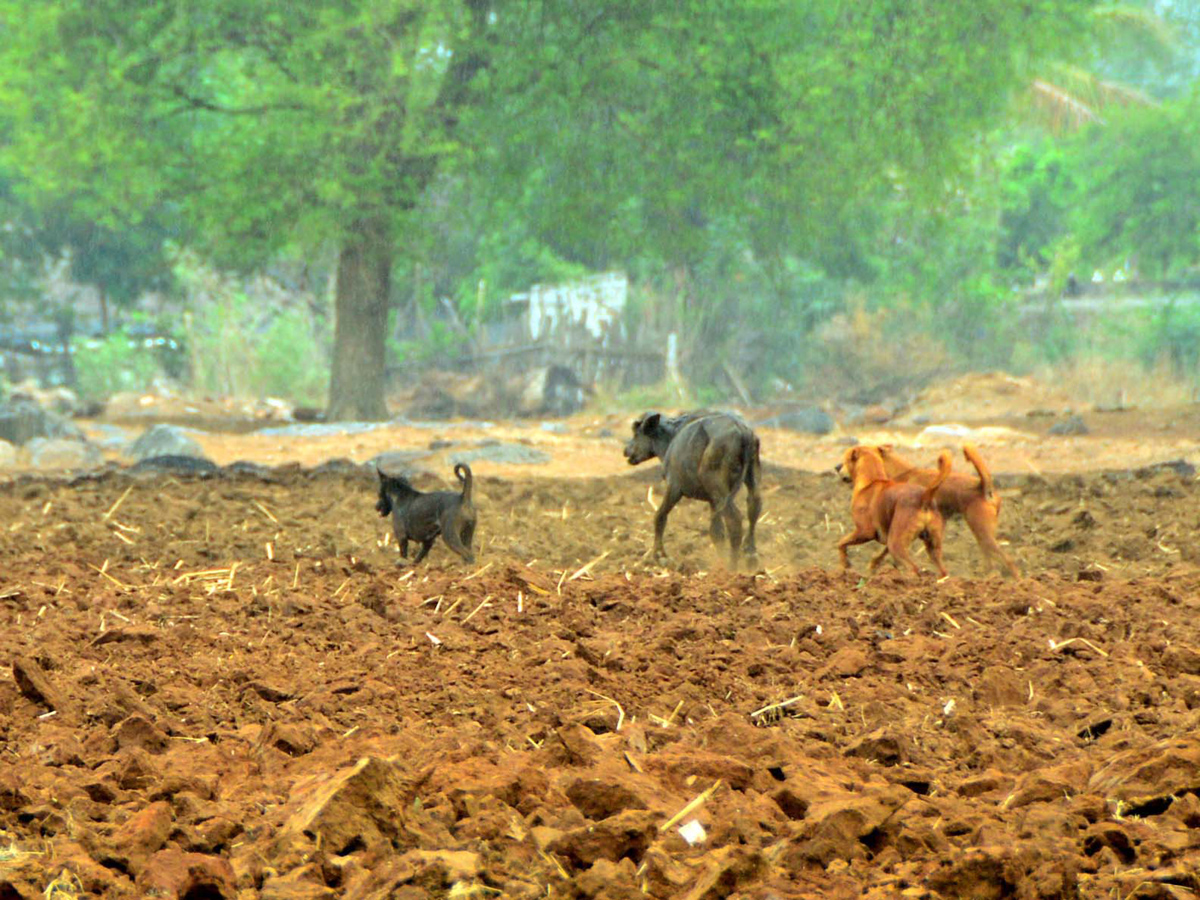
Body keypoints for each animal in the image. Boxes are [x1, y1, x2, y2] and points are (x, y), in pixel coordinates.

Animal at [840, 448, 950, 580]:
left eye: (845, 460)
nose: (838, 469)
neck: (871, 481)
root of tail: (924, 497)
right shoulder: (888, 536)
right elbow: (881, 553)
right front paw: (873, 565)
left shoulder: (864, 532)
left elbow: (841, 543)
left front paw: (844, 565)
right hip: (932, 546)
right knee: (943, 571)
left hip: (896, 545)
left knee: (913, 568)